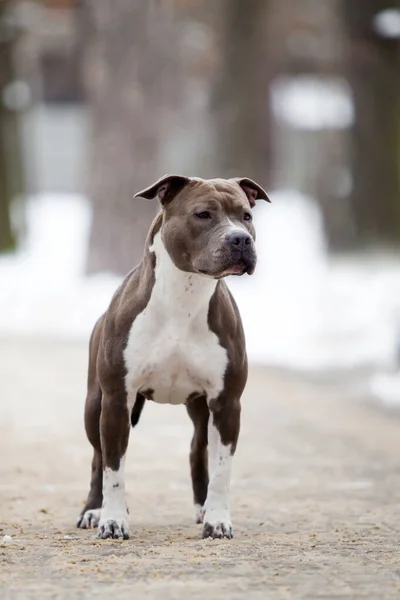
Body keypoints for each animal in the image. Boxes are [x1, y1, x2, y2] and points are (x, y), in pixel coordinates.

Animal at [76, 172, 270, 540]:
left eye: (247, 216)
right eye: (202, 214)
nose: (240, 239)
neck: (185, 296)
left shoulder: (226, 403)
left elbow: (222, 469)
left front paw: (217, 521)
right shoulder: (117, 399)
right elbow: (113, 468)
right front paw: (113, 520)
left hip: (201, 408)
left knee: (198, 449)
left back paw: (202, 507)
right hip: (95, 404)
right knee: (96, 456)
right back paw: (93, 510)